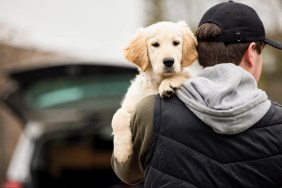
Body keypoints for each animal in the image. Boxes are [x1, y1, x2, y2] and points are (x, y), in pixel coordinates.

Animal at [111, 20, 197, 163]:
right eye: (155, 44)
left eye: (176, 43)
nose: (168, 61)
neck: (156, 82)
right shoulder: (132, 106)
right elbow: (117, 116)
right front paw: (122, 152)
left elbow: (183, 75)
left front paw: (169, 83)